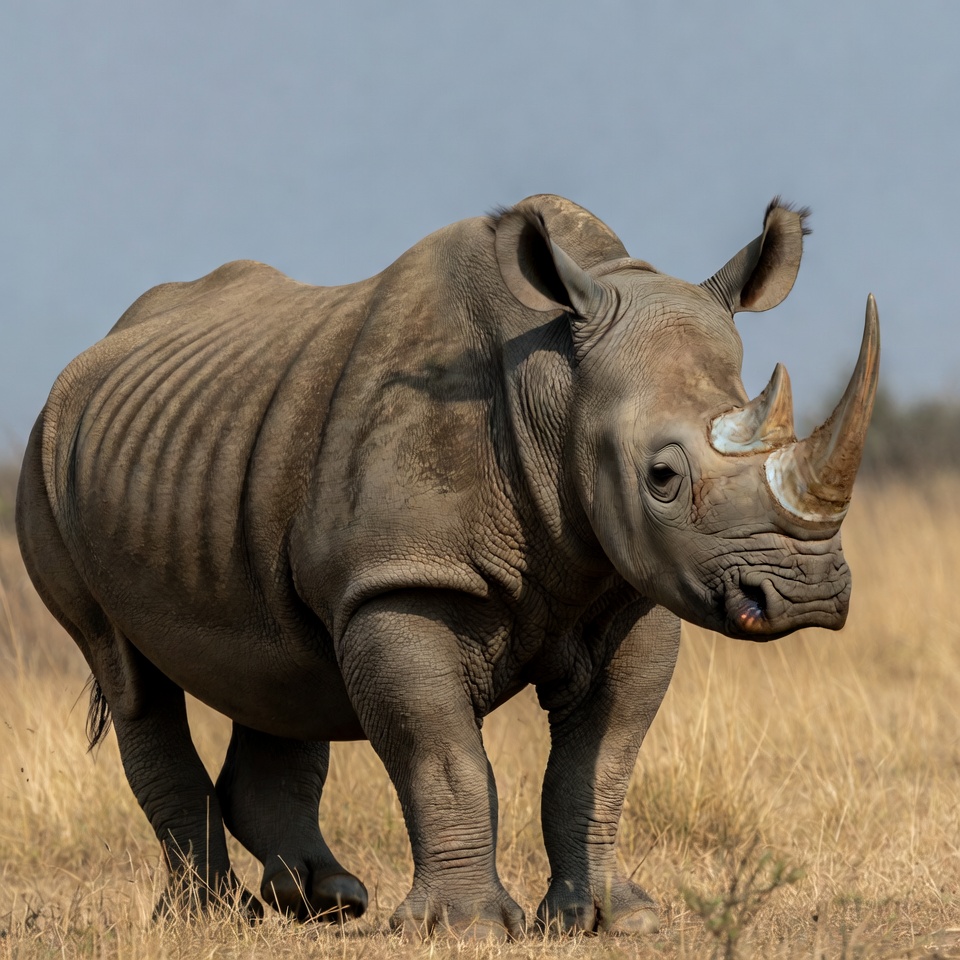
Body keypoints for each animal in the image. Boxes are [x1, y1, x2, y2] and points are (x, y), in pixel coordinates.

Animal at [16, 195, 878, 938]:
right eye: (662, 477)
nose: (804, 594)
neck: (554, 386)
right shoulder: (400, 580)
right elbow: (443, 755)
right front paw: (466, 927)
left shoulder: (632, 588)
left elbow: (601, 761)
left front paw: (614, 918)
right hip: (43, 467)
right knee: (130, 676)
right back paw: (213, 919)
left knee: (281, 668)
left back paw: (325, 902)